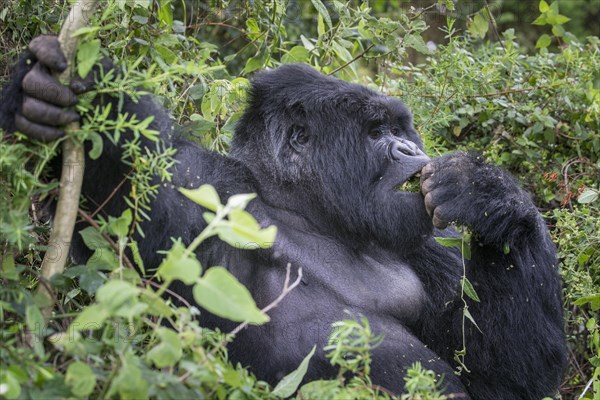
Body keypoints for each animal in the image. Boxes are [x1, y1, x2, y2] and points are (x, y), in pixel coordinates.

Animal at [0, 36, 564, 398]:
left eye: (401, 128)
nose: (409, 148)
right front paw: (48, 91)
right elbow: (126, 187)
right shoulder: (205, 183)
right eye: (377, 132)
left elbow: (505, 377)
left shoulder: (429, 245)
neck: (311, 215)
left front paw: (491, 199)